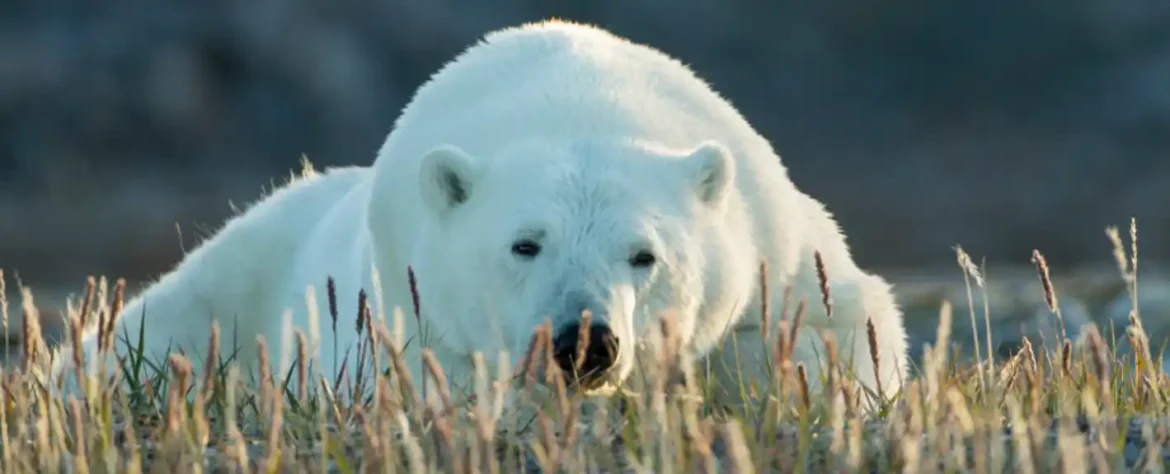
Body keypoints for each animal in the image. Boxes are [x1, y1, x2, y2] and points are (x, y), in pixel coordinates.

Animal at [50, 19, 907, 409]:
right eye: (526, 245)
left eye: (645, 255)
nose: (585, 342)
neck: (577, 98)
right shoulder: (410, 308)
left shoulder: (773, 253)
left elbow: (830, 330)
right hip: (235, 278)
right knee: (144, 337)